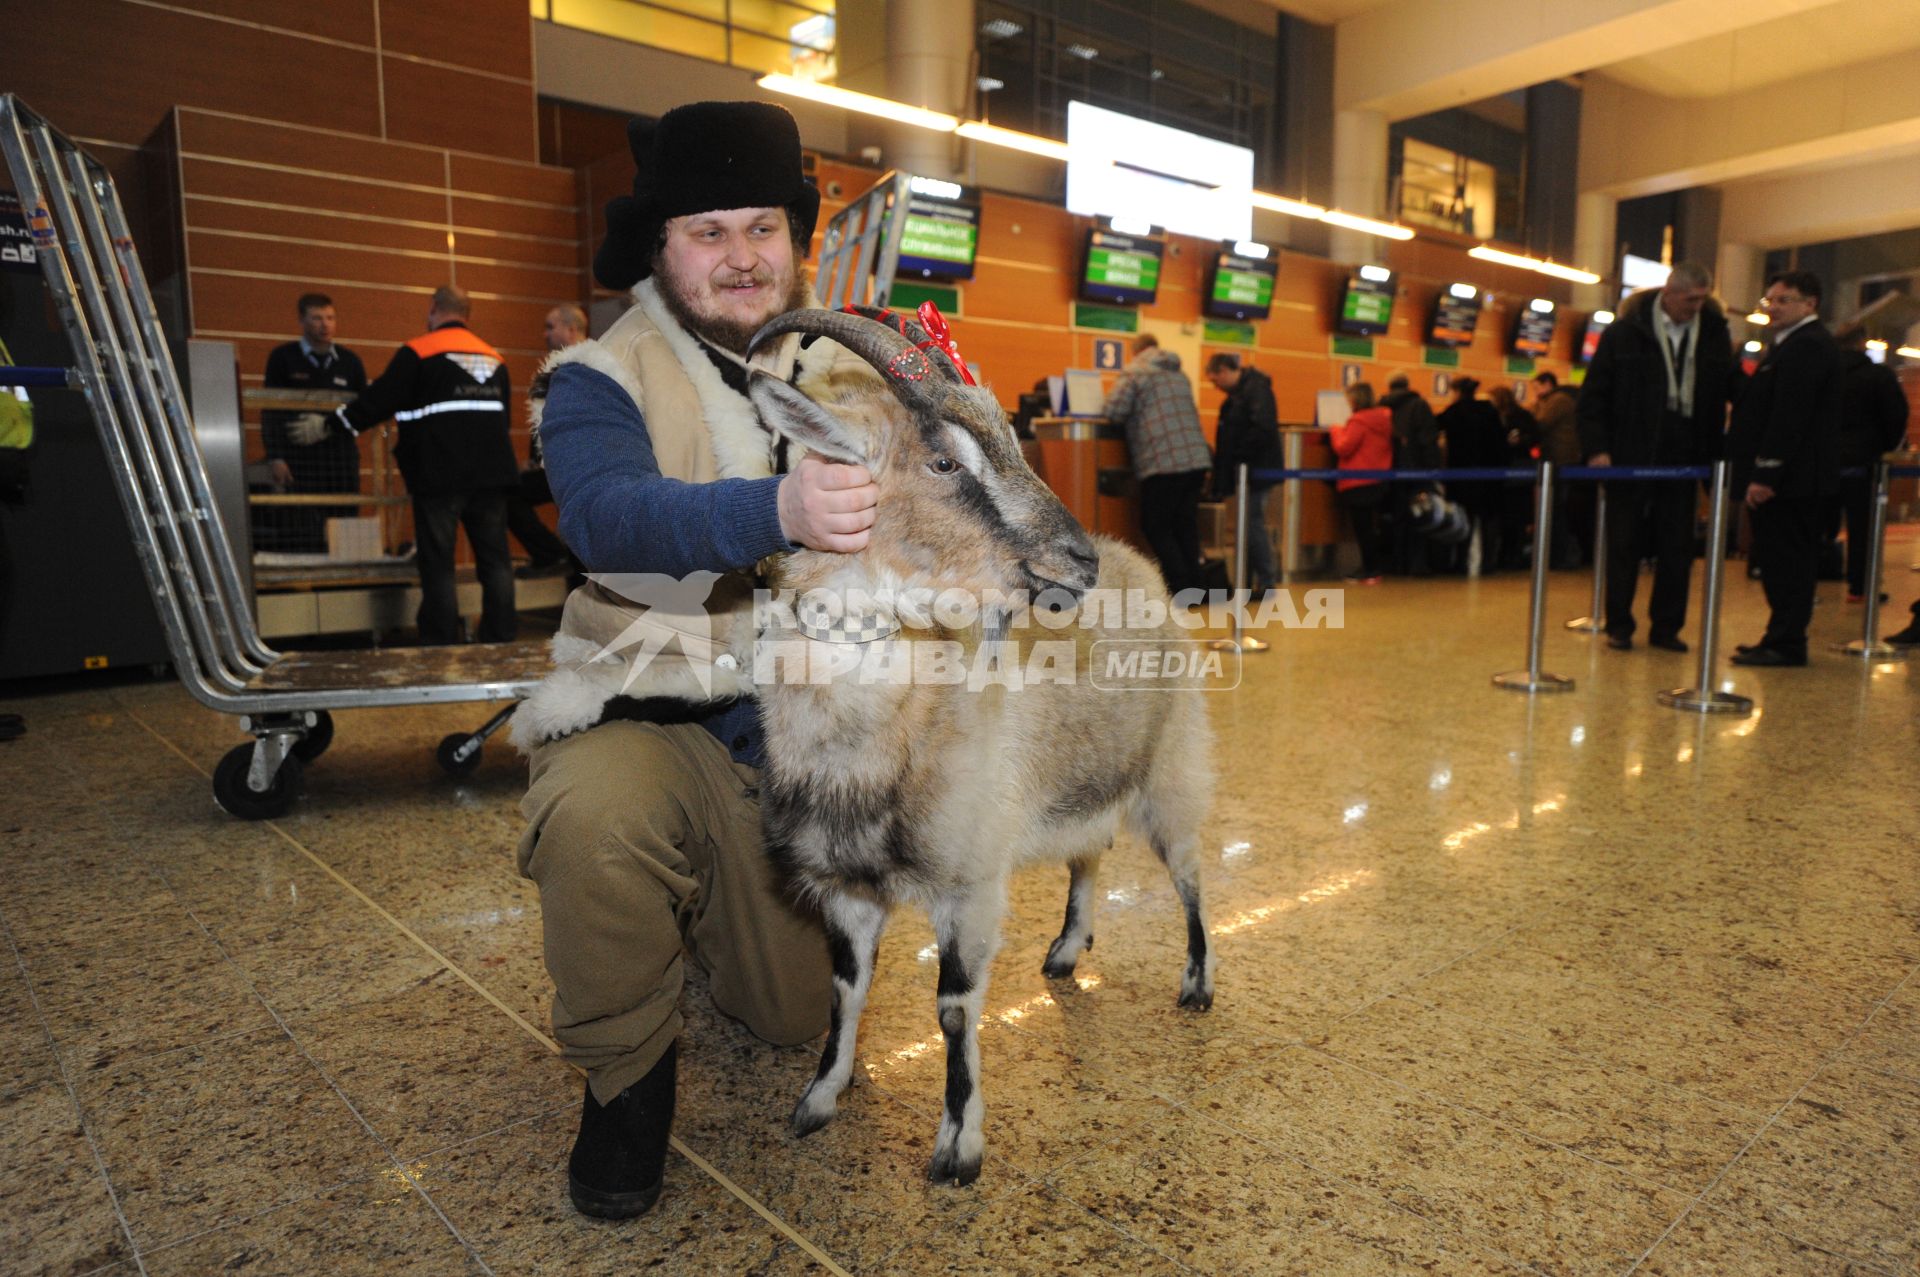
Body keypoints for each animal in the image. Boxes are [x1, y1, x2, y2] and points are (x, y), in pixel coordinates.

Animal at [744, 309, 1213, 1182]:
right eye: (942, 460)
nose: (1077, 561)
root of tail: (1141, 562)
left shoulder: (969, 878)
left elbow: (955, 1008)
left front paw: (958, 1147)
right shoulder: (847, 888)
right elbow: (844, 987)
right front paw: (820, 1096)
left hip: (1172, 766)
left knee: (1191, 871)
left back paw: (1197, 981)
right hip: (1084, 777)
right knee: (1089, 850)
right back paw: (1066, 949)